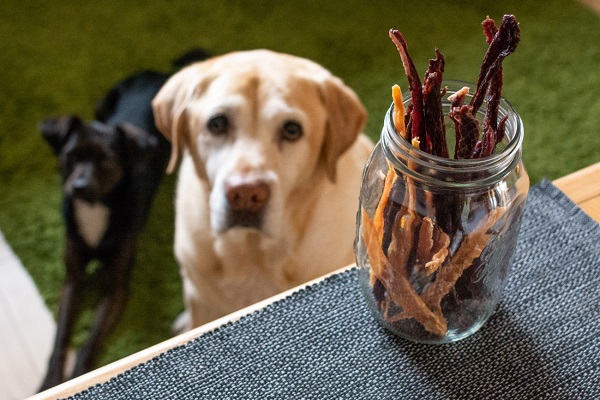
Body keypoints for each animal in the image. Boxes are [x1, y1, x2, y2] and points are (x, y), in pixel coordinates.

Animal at [38, 50, 211, 390]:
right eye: (70, 157)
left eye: (106, 161)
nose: (78, 187)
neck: (95, 207)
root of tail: (159, 73)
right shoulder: (72, 278)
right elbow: (60, 337)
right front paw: (51, 381)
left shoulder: (116, 289)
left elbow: (90, 341)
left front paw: (78, 376)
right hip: (103, 102)